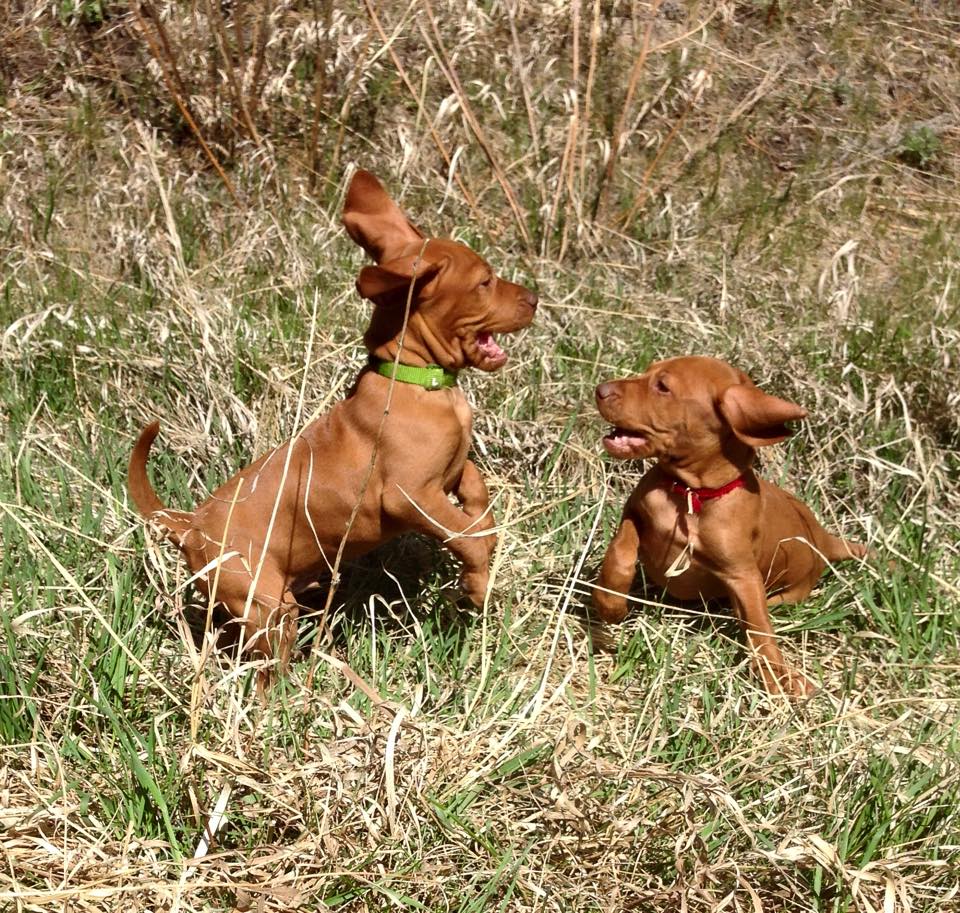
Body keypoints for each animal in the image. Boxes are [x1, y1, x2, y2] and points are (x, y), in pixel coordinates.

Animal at [127, 171, 536, 684]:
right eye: (484, 281)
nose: (535, 299)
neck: (415, 380)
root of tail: (191, 524)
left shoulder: (449, 471)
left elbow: (475, 491)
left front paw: (483, 517)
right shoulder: (408, 496)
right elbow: (469, 539)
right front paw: (478, 585)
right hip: (265, 605)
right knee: (264, 670)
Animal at [588, 352, 868, 696]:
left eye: (662, 386)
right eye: (647, 372)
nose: (600, 389)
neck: (691, 494)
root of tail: (822, 537)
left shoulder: (743, 576)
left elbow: (760, 627)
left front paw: (778, 675)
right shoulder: (635, 512)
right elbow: (621, 551)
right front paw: (610, 604)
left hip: (791, 593)